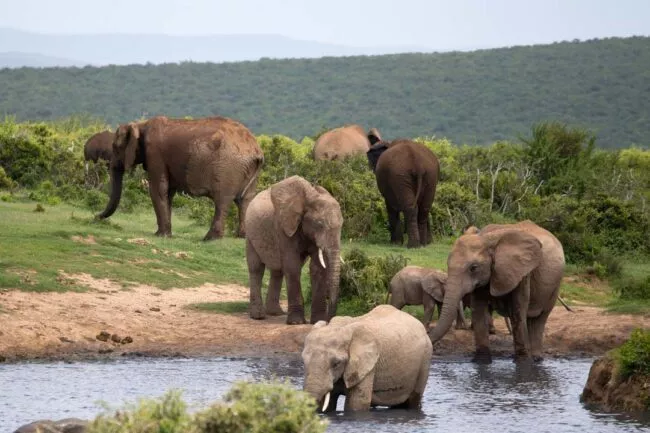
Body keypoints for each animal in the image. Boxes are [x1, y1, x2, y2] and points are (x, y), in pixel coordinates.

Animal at [96, 116, 264, 241]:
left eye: (116, 147)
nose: (96, 217)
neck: (140, 125)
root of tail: (256, 150)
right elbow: (168, 193)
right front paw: (165, 234)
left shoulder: (155, 154)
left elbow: (158, 189)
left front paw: (161, 236)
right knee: (245, 200)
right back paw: (241, 237)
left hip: (228, 169)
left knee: (222, 201)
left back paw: (209, 239)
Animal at [245, 175, 343, 325]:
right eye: (320, 224)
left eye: (342, 225)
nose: (329, 320)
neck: (310, 198)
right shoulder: (283, 226)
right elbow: (292, 266)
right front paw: (296, 322)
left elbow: (317, 268)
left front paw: (317, 321)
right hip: (250, 235)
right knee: (256, 269)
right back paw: (258, 316)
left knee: (278, 271)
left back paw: (275, 313)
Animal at [302, 304, 433, 412]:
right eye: (304, 361)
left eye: (336, 363)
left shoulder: (368, 366)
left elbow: (356, 404)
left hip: (425, 358)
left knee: (413, 400)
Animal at [428, 220, 565, 364]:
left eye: (473, 268)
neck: (486, 239)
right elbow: (479, 311)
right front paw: (482, 361)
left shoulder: (522, 271)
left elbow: (517, 311)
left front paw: (523, 363)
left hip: (555, 284)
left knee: (539, 319)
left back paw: (536, 359)